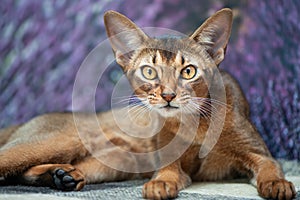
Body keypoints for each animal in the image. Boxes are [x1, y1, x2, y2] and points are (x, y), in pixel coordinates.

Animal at [0, 8, 296, 200]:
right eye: (149, 72)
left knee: (23, 173)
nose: (168, 95)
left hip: (111, 164)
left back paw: (61, 176)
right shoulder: (169, 161)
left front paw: (278, 184)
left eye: (188, 71)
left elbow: (270, 168)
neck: (196, 124)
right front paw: (160, 185)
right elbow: (167, 172)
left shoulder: (258, 152)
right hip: (57, 141)